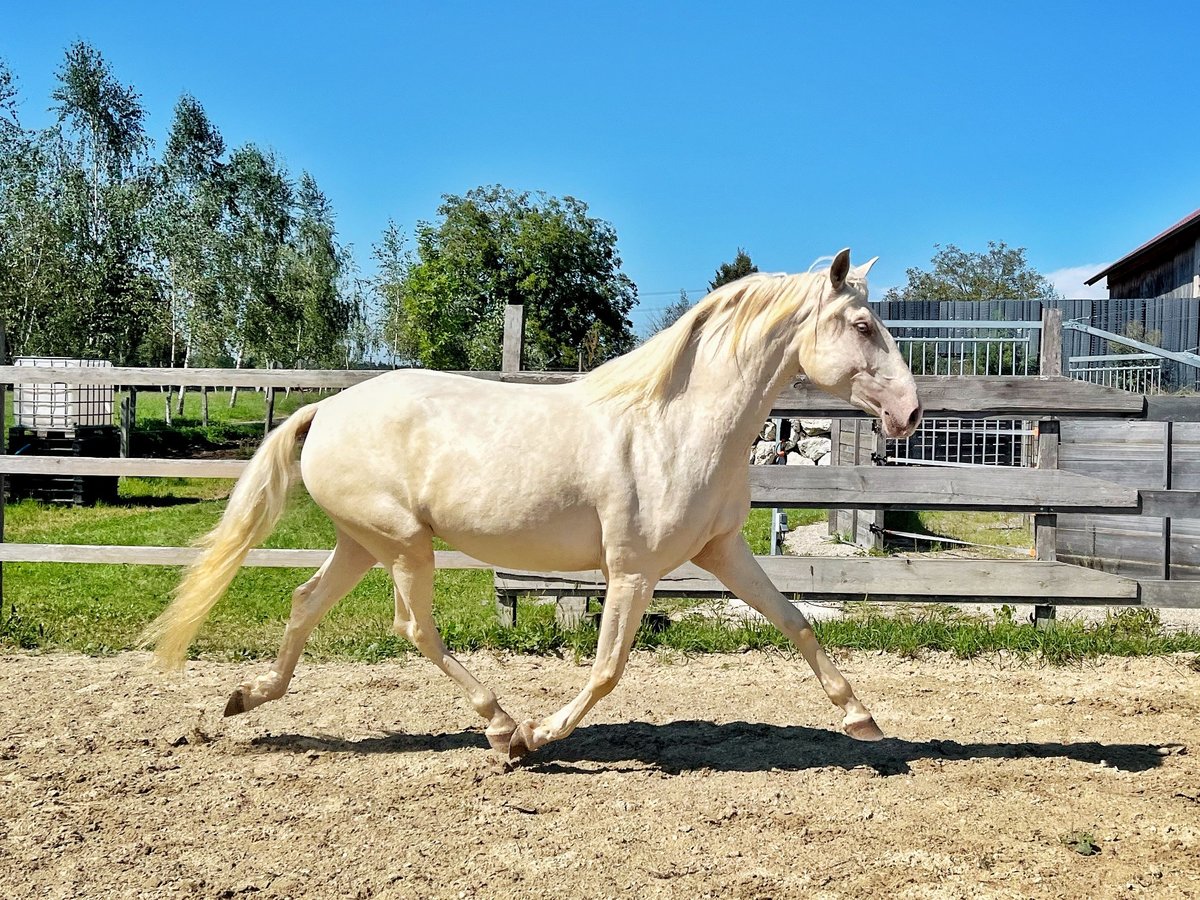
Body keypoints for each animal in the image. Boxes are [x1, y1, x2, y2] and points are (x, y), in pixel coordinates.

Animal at [145, 248, 921, 763]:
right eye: (861, 325)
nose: (910, 414)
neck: (676, 424)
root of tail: (326, 409)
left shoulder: (722, 551)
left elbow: (795, 621)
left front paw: (862, 720)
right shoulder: (633, 570)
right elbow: (608, 667)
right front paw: (542, 734)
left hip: (362, 542)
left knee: (306, 602)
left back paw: (245, 698)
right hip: (402, 545)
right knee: (413, 628)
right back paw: (501, 728)